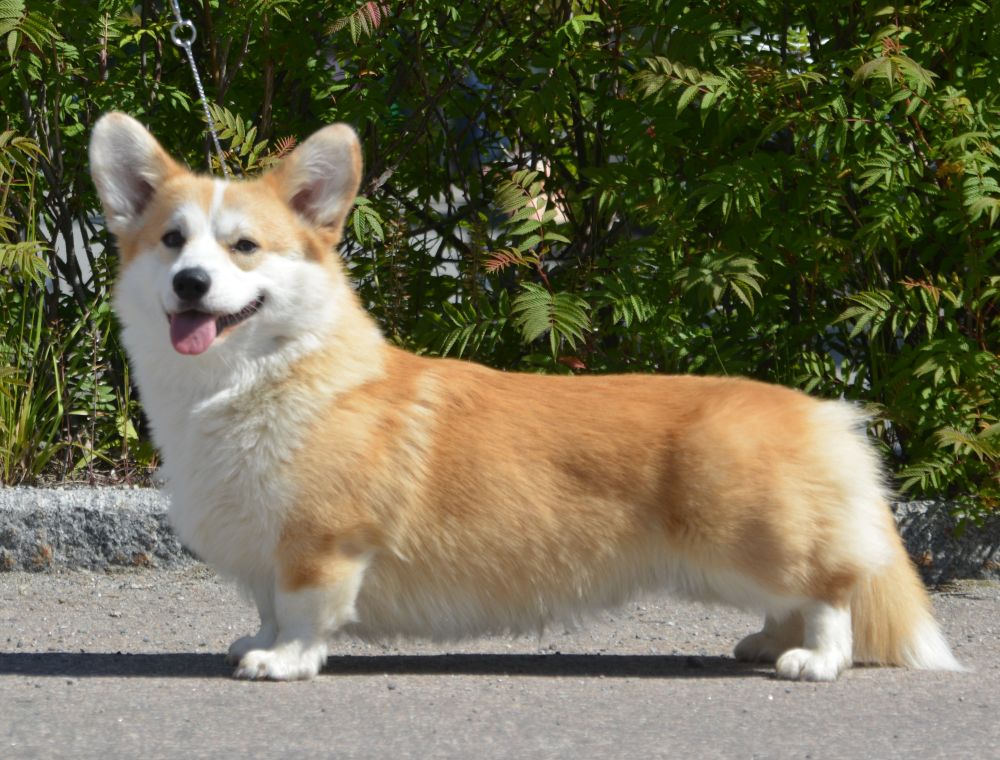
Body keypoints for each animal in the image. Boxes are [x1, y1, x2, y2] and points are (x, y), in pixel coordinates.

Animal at [88, 112, 962, 681]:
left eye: (244, 247)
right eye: (172, 241)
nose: (190, 284)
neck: (258, 381)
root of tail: (825, 413)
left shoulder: (321, 543)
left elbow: (303, 613)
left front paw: (283, 662)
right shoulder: (269, 554)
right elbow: (268, 605)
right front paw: (255, 642)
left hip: (755, 540)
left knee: (829, 594)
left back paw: (811, 659)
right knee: (795, 598)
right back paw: (764, 643)